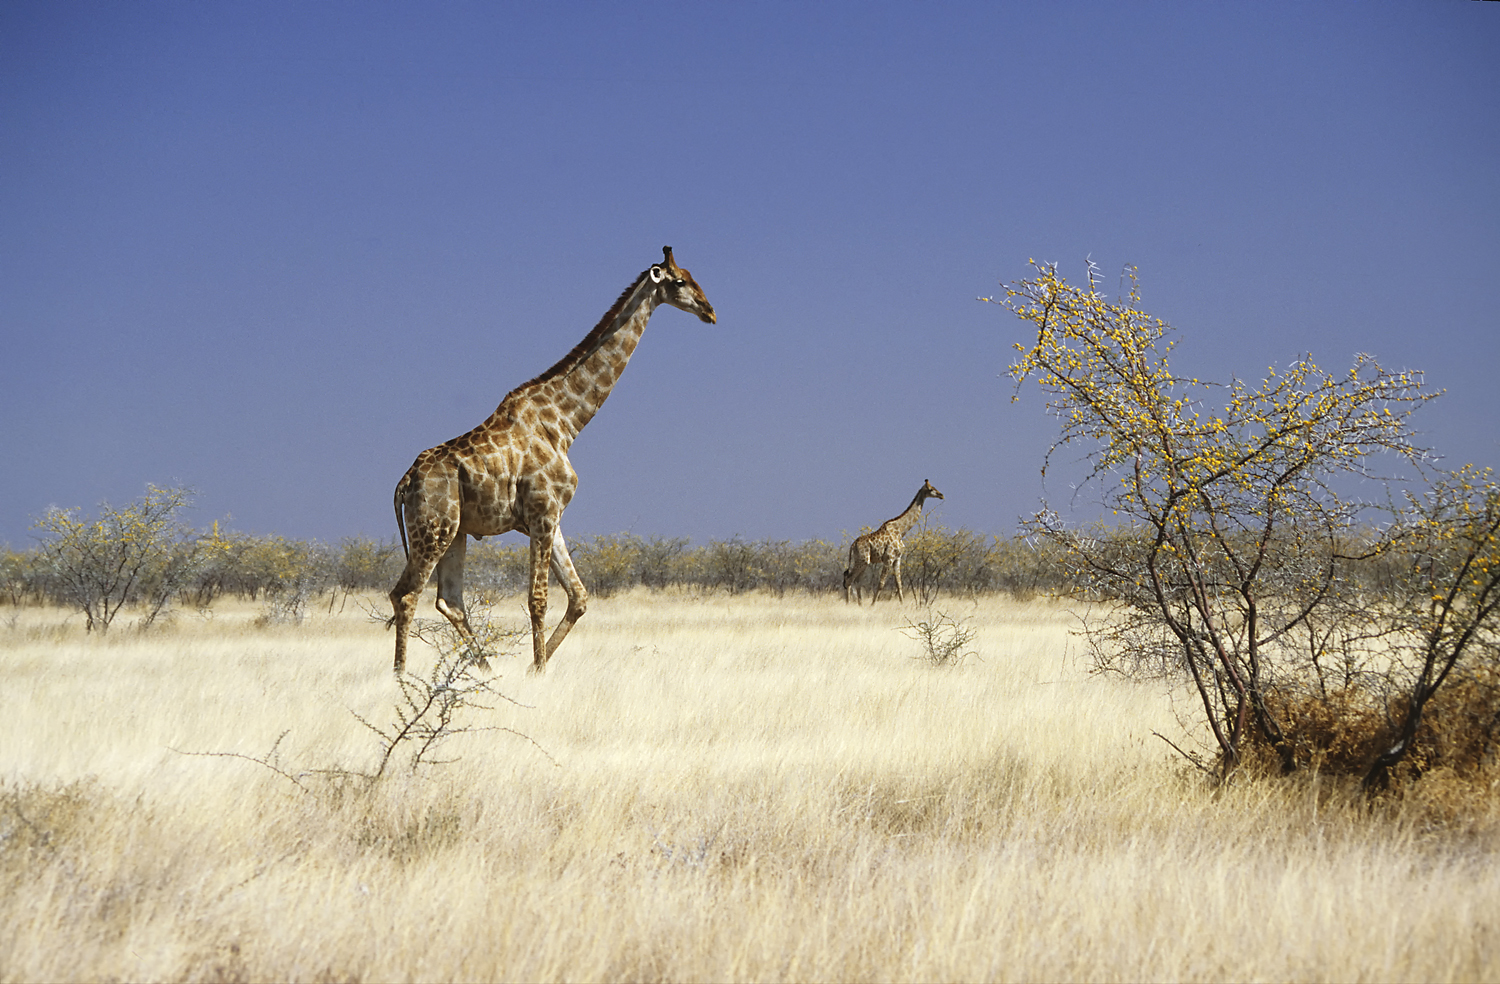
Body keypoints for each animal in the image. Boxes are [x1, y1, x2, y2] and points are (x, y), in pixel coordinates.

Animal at [387, 250, 714, 672]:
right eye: (679, 281)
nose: (710, 311)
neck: (565, 422)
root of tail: (405, 482)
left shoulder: (551, 517)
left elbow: (579, 596)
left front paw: (532, 670)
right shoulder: (542, 513)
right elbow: (538, 600)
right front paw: (539, 668)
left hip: (454, 532)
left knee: (448, 600)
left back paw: (486, 670)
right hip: (432, 528)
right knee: (408, 595)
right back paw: (400, 676)